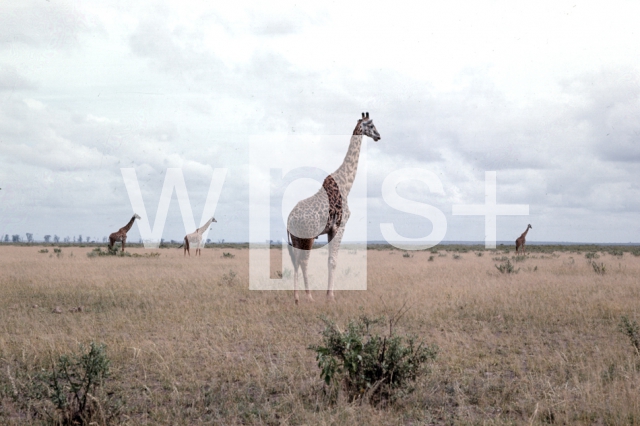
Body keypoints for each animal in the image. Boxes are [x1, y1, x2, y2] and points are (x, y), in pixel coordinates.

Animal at [284, 111, 380, 304]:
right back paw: (309, 296)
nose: (378, 136)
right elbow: (333, 261)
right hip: (307, 236)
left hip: (297, 238)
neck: (346, 185)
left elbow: (330, 260)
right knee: (304, 261)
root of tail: (289, 219)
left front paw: (329, 295)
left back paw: (297, 298)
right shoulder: (340, 226)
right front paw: (330, 296)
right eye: (371, 125)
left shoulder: (330, 230)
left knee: (296, 261)